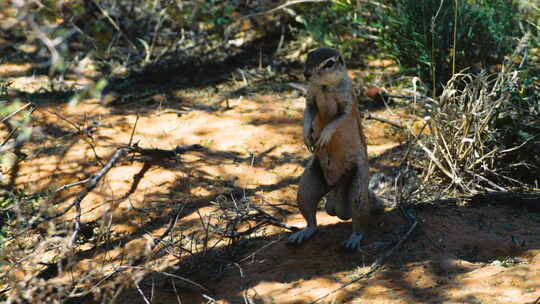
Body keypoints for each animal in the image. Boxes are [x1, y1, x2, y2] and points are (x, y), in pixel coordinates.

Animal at [286, 47, 380, 251]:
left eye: (329, 63)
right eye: (308, 56)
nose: (306, 74)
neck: (324, 87)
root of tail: (336, 186)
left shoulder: (347, 103)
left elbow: (337, 120)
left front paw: (324, 136)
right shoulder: (310, 98)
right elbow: (308, 113)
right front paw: (306, 136)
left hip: (358, 188)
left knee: (360, 220)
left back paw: (354, 239)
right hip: (307, 186)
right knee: (312, 221)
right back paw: (303, 233)